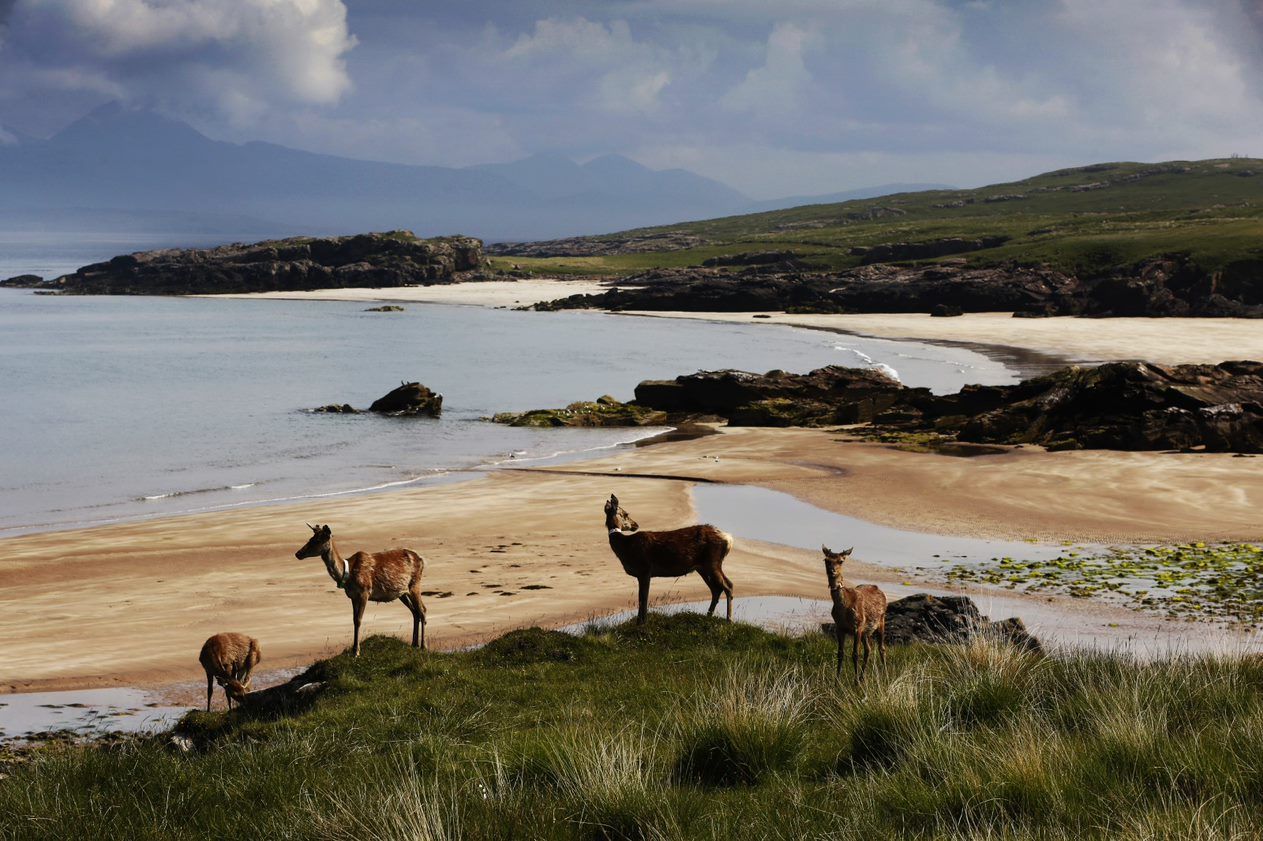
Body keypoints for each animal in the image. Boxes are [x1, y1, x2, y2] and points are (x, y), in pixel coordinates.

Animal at [295, 525, 429, 656]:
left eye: (317, 540)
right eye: (310, 538)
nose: (298, 553)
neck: (347, 574)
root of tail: (422, 560)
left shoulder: (365, 592)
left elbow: (359, 620)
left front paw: (356, 651)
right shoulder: (353, 596)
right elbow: (354, 620)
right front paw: (354, 649)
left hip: (415, 584)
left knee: (422, 610)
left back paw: (423, 646)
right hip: (402, 592)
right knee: (415, 612)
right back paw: (414, 644)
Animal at [598, 492, 732, 621]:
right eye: (625, 514)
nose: (636, 524)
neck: (626, 547)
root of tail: (728, 539)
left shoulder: (645, 570)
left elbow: (643, 599)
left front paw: (642, 623)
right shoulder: (642, 573)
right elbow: (642, 600)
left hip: (713, 561)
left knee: (728, 585)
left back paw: (728, 620)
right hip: (702, 567)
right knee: (716, 589)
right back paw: (708, 617)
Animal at [818, 542, 889, 681]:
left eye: (841, 561)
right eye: (826, 560)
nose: (832, 571)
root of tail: (880, 590)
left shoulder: (858, 625)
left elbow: (855, 654)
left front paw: (855, 682)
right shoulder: (840, 627)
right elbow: (840, 653)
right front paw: (837, 681)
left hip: (881, 620)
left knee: (881, 648)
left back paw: (884, 675)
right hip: (866, 630)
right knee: (868, 649)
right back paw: (862, 677)